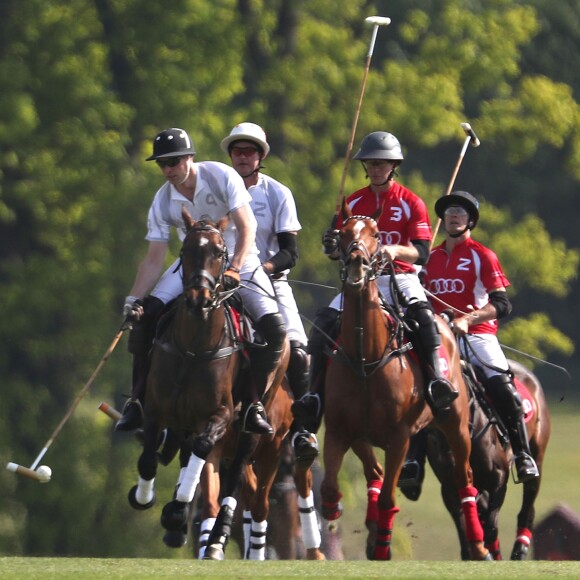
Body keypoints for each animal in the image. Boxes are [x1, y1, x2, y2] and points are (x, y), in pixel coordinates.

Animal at [320, 206, 492, 560]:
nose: (357, 263)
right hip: (362, 437)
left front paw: (383, 546)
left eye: (375, 234)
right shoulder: (340, 429)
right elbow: (330, 489)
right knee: (375, 473)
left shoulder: (399, 437)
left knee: (464, 478)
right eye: (342, 233)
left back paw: (478, 543)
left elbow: (389, 497)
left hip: (456, 424)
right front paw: (365, 530)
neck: (366, 359)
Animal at [422, 356, 548, 560]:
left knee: (528, 507)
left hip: (537, 456)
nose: (444, 447)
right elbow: (466, 531)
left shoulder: (498, 480)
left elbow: (491, 527)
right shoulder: (449, 488)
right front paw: (479, 554)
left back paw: (519, 550)